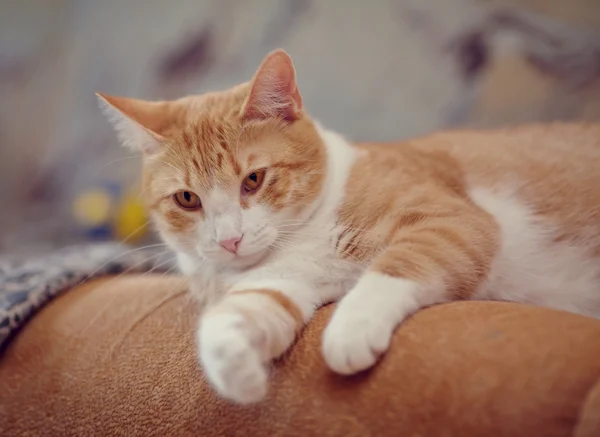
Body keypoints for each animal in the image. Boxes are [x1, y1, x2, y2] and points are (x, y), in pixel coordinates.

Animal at [97, 47, 600, 402]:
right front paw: (239, 374)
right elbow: (232, 317)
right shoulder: (283, 281)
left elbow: (393, 268)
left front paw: (350, 329)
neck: (308, 231)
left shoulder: (452, 221)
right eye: (187, 199)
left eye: (253, 180)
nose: (230, 240)